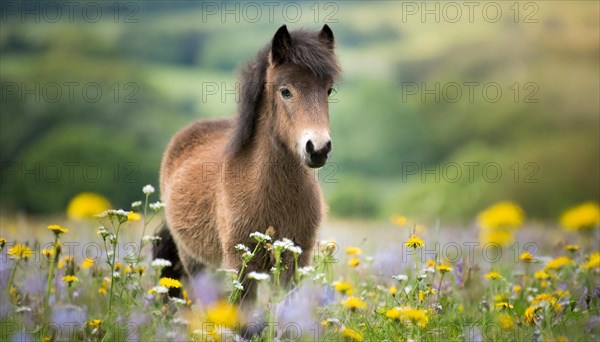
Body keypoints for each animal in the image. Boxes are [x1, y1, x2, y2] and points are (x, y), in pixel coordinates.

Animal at [155, 24, 340, 302]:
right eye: (285, 91)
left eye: (328, 90)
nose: (318, 149)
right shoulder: (240, 264)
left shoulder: (295, 259)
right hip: (194, 262)